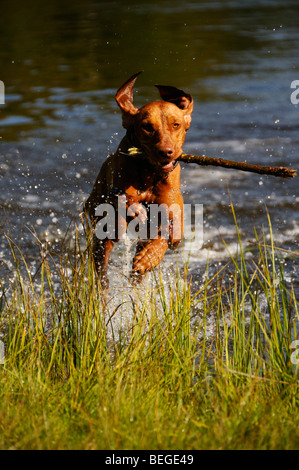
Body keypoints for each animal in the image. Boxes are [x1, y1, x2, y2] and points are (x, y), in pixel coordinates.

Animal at [86, 72, 195, 286]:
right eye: (147, 127)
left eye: (176, 124)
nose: (166, 152)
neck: (149, 174)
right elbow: (123, 205)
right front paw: (136, 210)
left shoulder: (174, 223)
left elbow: (166, 235)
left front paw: (149, 257)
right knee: (102, 266)